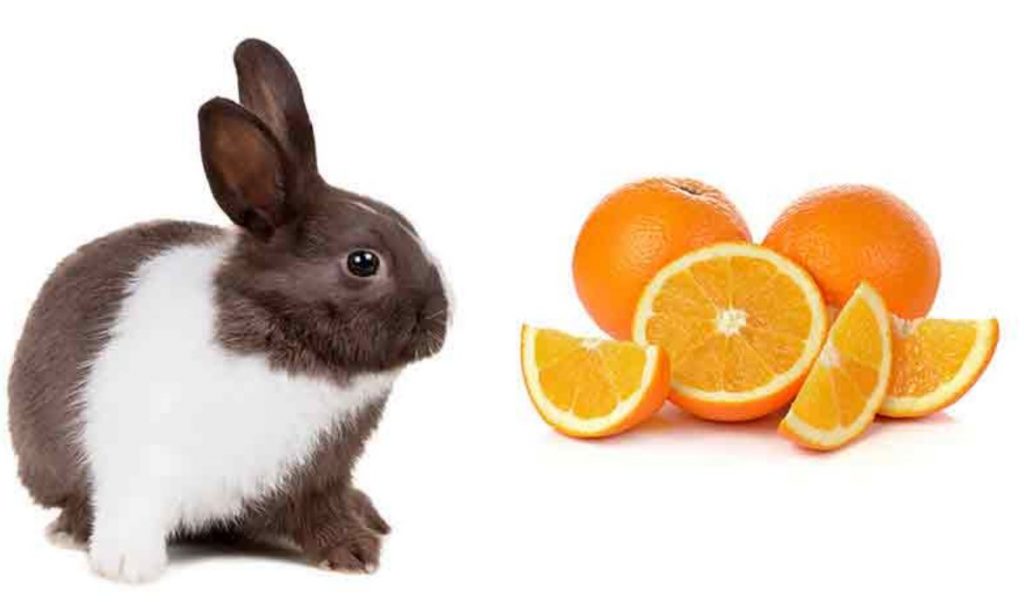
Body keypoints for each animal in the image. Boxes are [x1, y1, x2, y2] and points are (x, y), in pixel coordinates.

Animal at [6, 38, 449, 583]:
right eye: (363, 262)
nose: (440, 319)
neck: (285, 341)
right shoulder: (139, 458)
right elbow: (130, 508)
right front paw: (128, 566)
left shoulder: (318, 476)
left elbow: (323, 513)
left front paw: (353, 552)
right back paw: (73, 531)